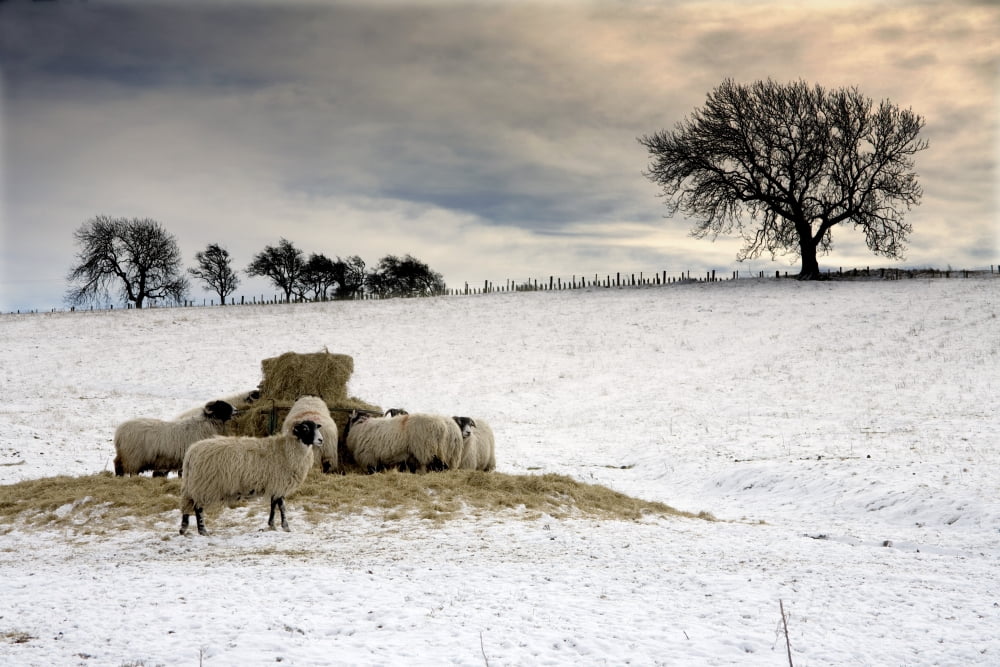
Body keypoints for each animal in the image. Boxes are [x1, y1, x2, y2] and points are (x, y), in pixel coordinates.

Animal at [179, 395, 332, 536]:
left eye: (316, 427)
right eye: (305, 428)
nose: (320, 440)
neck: (286, 449)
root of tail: (191, 452)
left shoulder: (274, 484)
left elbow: (273, 505)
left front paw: (272, 525)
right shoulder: (279, 482)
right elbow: (281, 506)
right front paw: (285, 527)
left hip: (194, 483)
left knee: (187, 503)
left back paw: (184, 528)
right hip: (204, 484)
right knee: (198, 507)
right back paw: (202, 530)